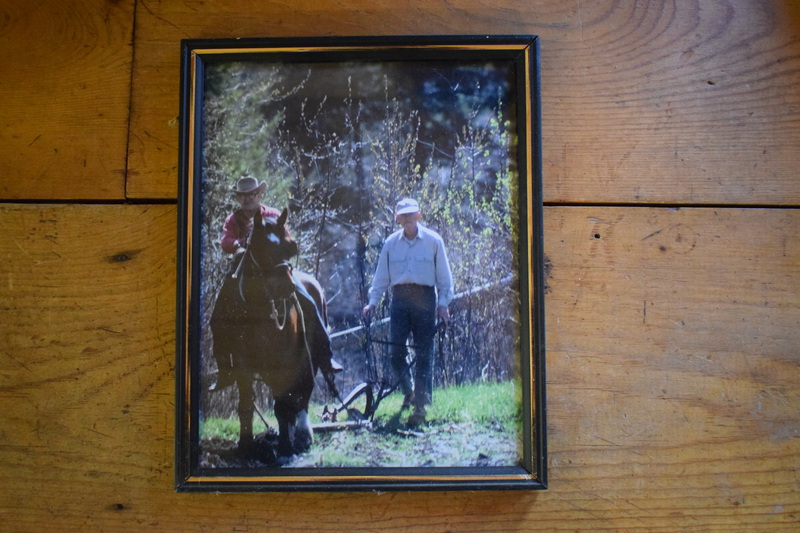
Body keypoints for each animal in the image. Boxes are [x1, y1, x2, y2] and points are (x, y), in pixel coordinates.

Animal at [209, 208, 332, 458]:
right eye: (259, 247)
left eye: (290, 246)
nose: (286, 287)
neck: (259, 311)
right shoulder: (243, 364)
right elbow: (246, 404)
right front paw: (246, 445)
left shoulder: (283, 362)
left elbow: (282, 404)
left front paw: (285, 446)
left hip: (309, 358)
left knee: (304, 392)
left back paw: (302, 435)